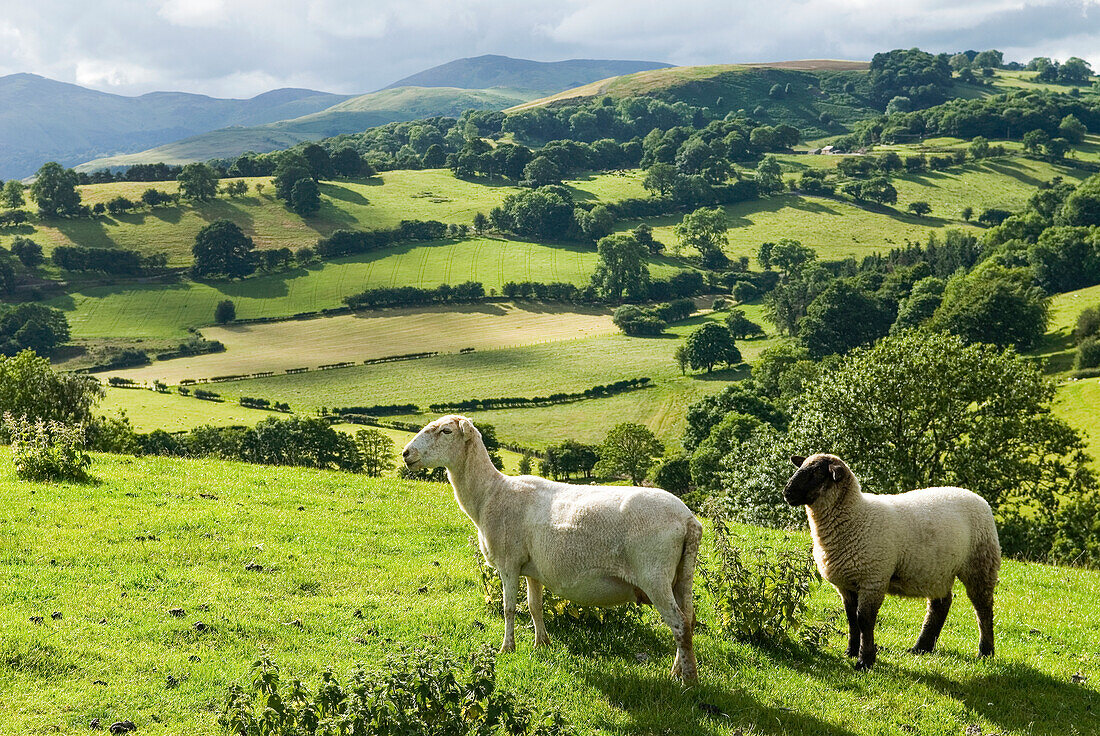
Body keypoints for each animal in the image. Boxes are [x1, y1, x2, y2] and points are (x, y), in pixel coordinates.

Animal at [404, 415, 704, 682]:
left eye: (445, 431)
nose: (406, 454)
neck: (489, 494)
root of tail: (689, 520)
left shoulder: (508, 562)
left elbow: (509, 608)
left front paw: (507, 648)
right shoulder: (531, 568)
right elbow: (534, 606)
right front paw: (542, 644)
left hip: (654, 575)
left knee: (678, 624)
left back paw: (689, 680)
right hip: (681, 575)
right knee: (687, 620)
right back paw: (678, 670)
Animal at [783, 451, 998, 668]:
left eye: (818, 473)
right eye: (802, 467)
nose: (787, 492)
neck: (856, 516)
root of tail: (977, 497)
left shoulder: (873, 579)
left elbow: (864, 620)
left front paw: (865, 660)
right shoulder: (846, 584)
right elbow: (851, 618)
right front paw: (851, 651)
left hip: (980, 562)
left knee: (983, 608)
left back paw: (985, 652)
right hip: (938, 570)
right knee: (941, 605)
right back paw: (921, 647)